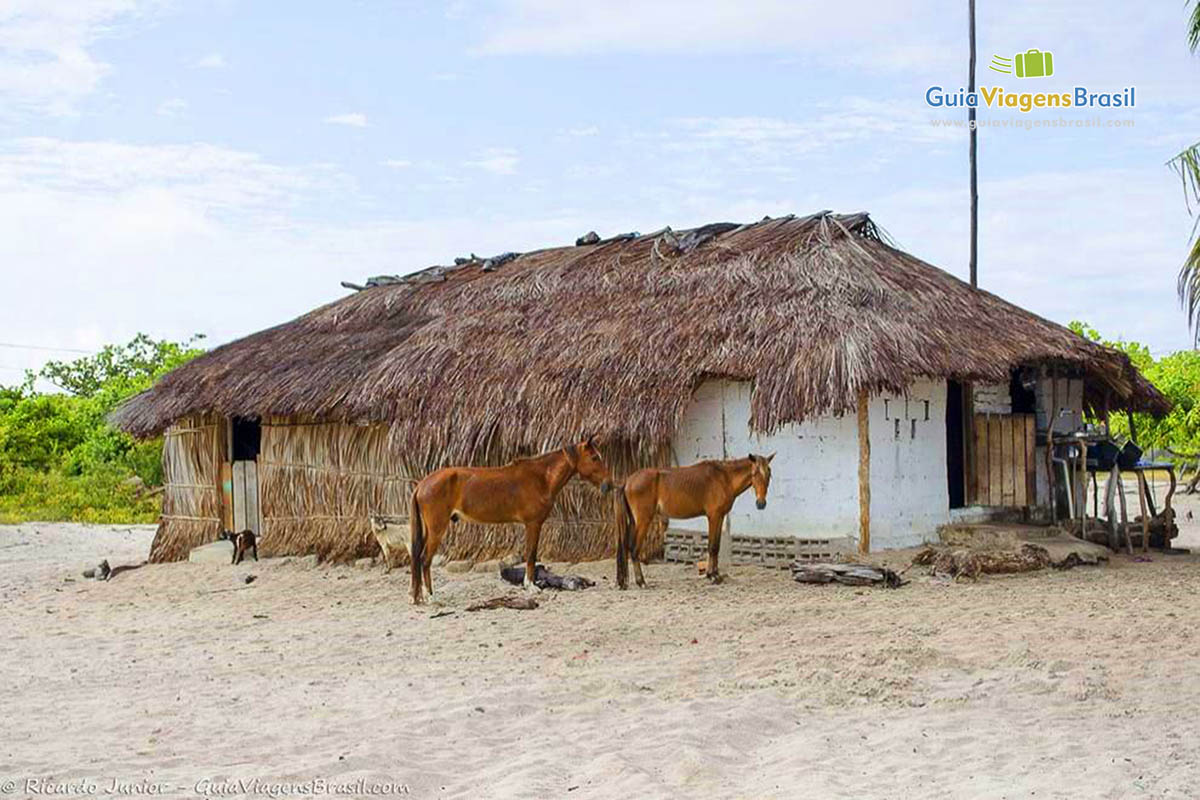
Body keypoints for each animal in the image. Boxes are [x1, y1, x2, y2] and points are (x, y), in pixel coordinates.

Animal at [410, 441, 614, 604]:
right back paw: (430, 597)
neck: (541, 478)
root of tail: (422, 484)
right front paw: (531, 586)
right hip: (437, 529)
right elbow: (531, 554)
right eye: (594, 457)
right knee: (425, 559)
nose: (609, 484)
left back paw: (417, 596)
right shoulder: (533, 524)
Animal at [614, 453, 772, 592]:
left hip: (634, 522)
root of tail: (628, 481)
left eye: (769, 474)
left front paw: (715, 574)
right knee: (634, 550)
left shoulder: (720, 517)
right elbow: (712, 547)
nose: (761, 504)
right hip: (643, 522)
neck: (724, 477)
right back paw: (641, 582)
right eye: (755, 473)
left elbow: (716, 547)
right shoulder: (713, 517)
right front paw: (712, 576)